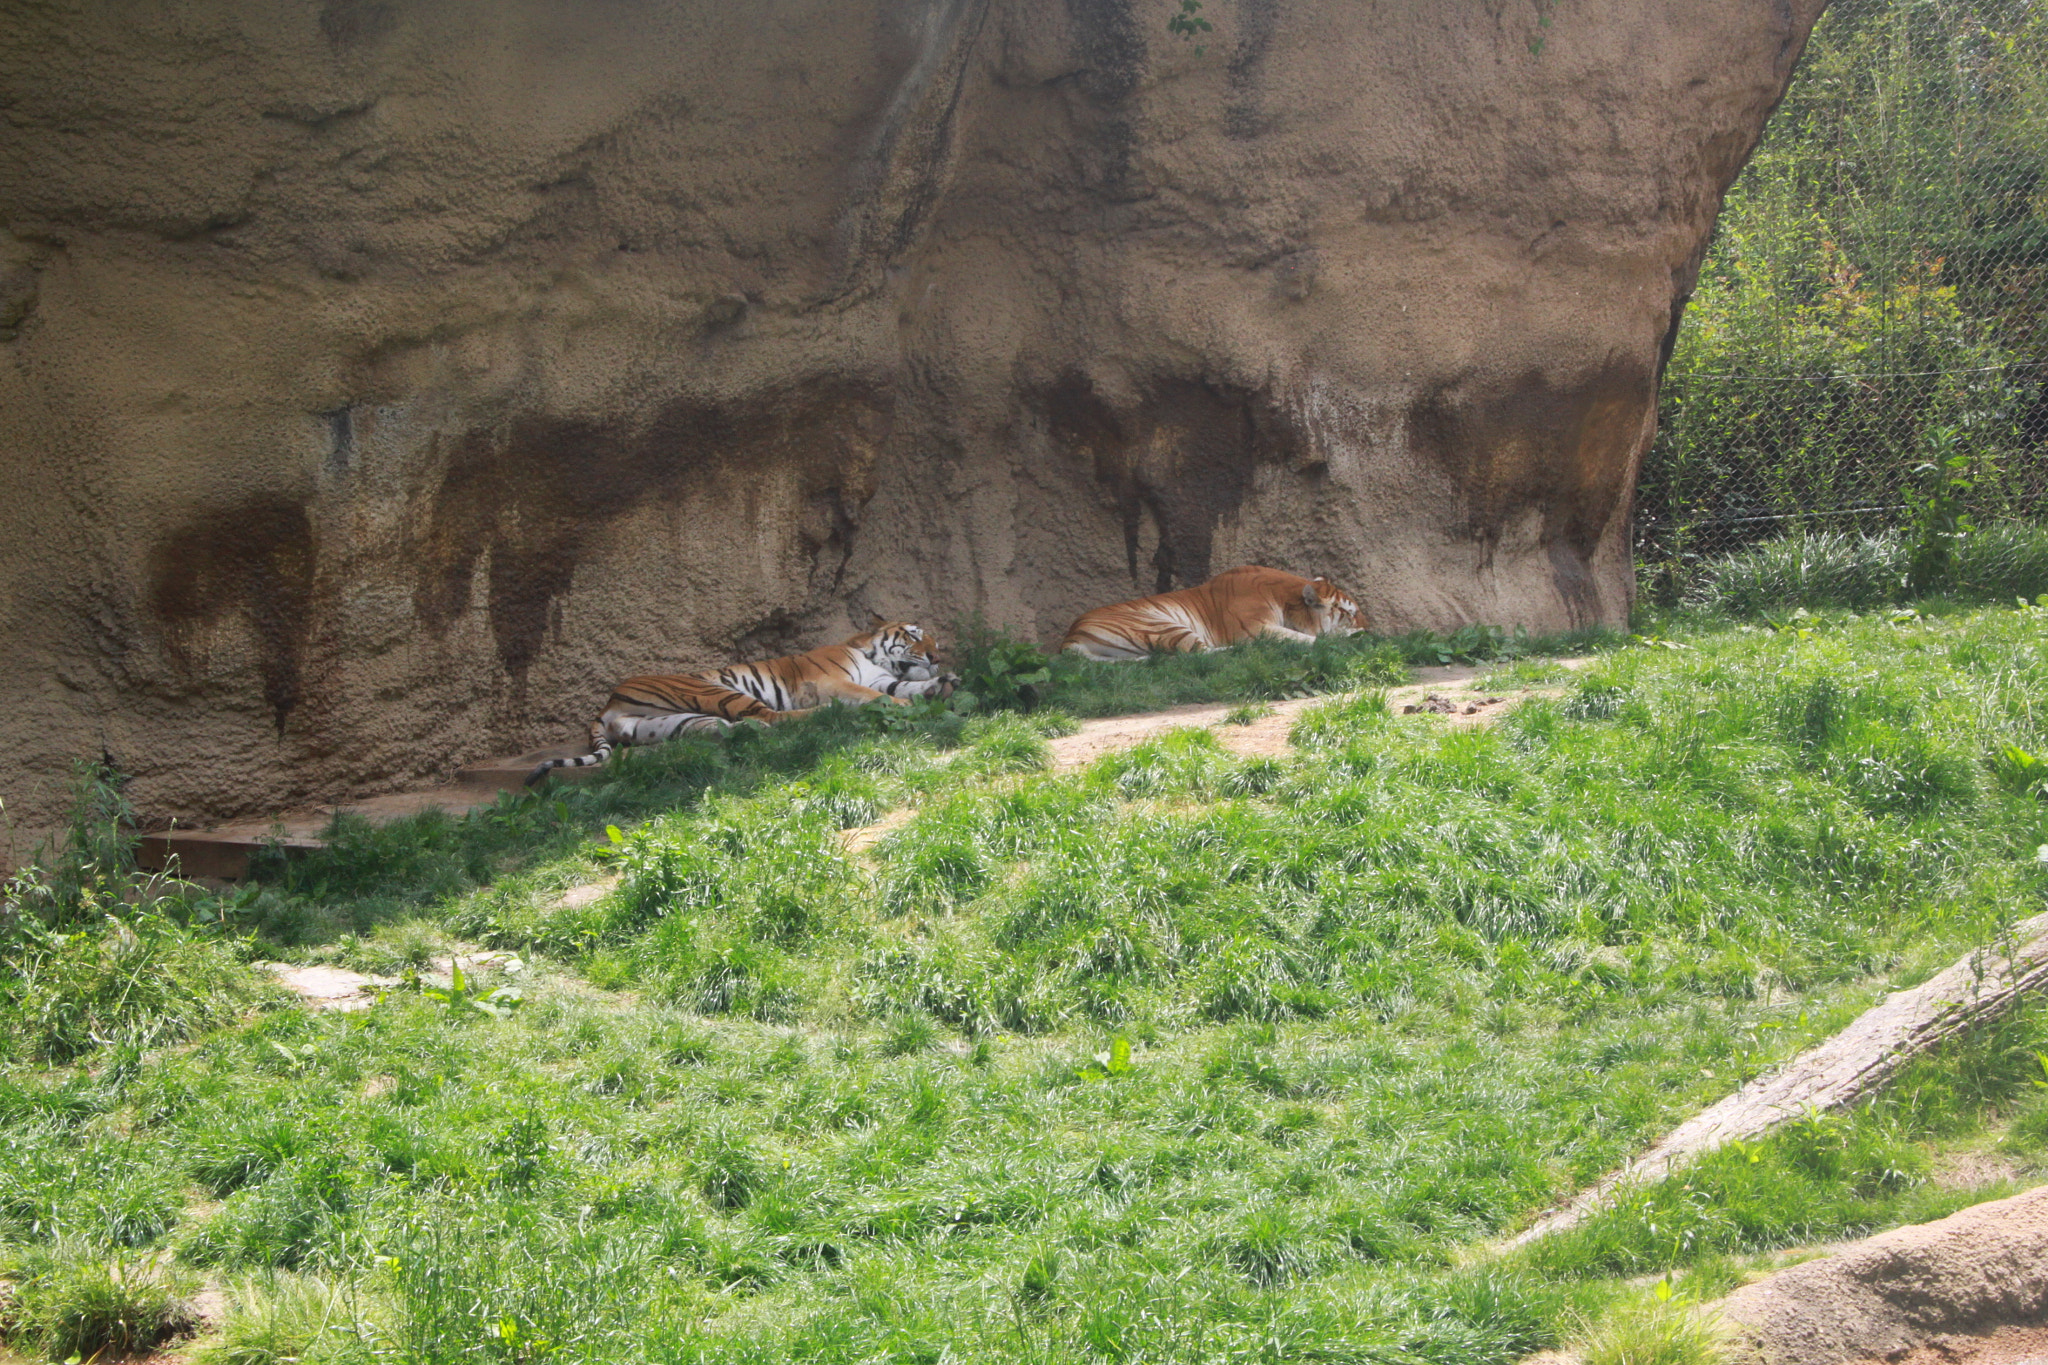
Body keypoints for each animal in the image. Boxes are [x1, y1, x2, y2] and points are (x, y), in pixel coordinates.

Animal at [525, 618, 957, 786]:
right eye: (915, 635)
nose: (937, 656)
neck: (873, 656)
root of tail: (607, 704)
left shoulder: (886, 678)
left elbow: (905, 688)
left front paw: (943, 686)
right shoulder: (830, 681)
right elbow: (873, 697)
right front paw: (908, 706)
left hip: (667, 723)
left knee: (733, 728)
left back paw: (736, 732)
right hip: (711, 690)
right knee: (775, 718)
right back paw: (821, 716)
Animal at [1059, 565, 1369, 661]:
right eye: (1348, 612)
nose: (1368, 627)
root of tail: (1071, 634)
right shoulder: (1255, 628)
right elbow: (1309, 639)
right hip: (1160, 625)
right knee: (1198, 654)